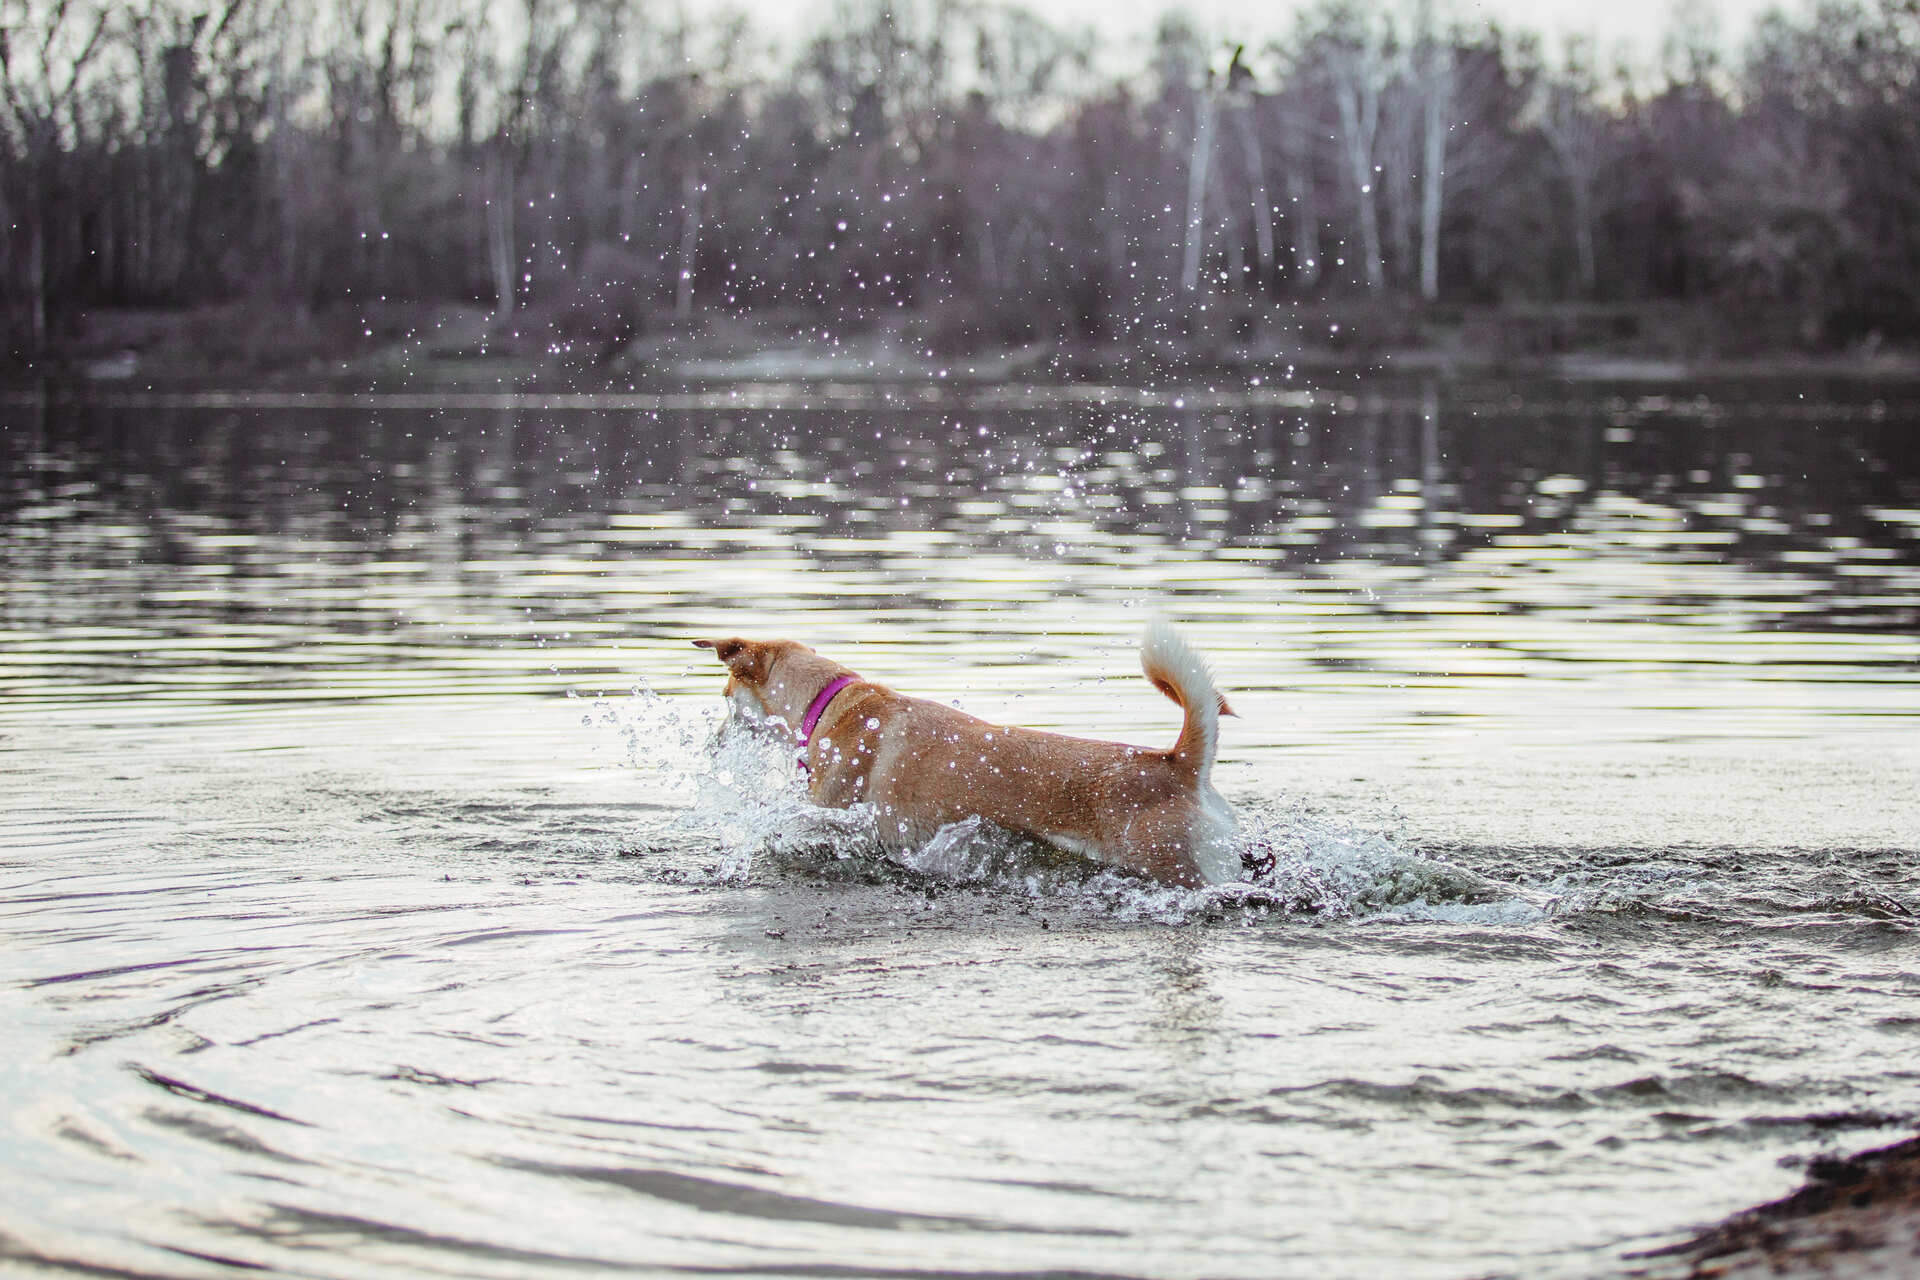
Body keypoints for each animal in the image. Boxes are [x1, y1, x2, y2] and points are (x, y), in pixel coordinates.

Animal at [698, 621, 1236, 886]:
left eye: (725, 696)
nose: (712, 746)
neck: (829, 704)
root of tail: (1176, 764)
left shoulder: (842, 821)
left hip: (1173, 866)